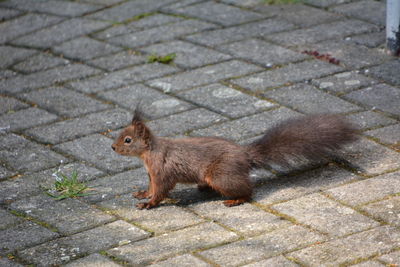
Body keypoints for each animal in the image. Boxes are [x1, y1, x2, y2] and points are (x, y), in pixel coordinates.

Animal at [111, 109, 358, 209]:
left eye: (128, 140)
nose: (112, 147)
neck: (149, 153)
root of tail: (245, 156)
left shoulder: (162, 171)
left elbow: (161, 190)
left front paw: (148, 204)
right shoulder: (151, 174)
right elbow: (152, 187)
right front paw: (143, 194)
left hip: (221, 176)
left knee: (248, 191)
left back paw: (235, 200)